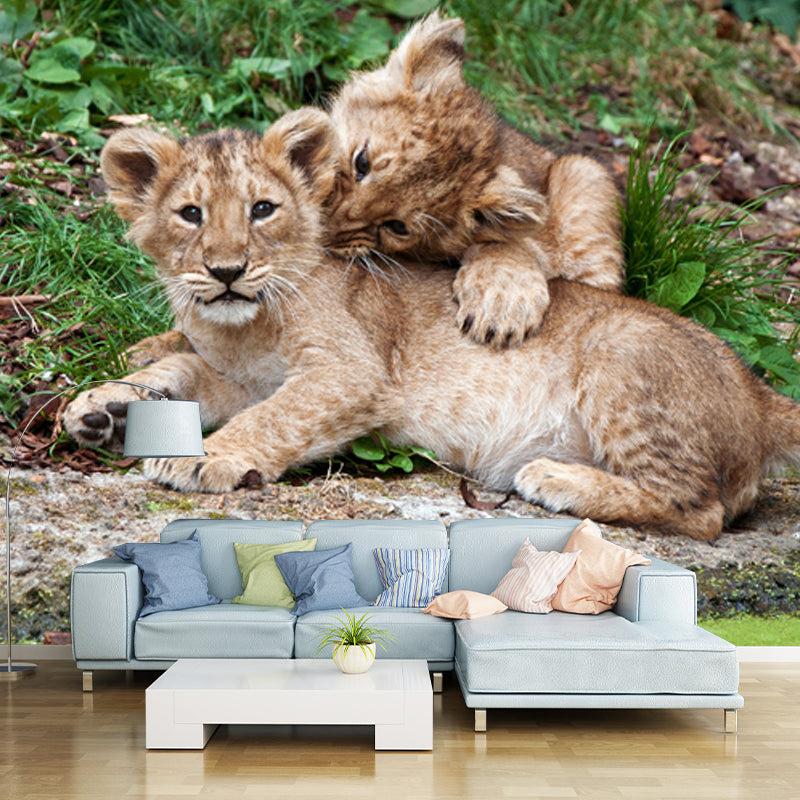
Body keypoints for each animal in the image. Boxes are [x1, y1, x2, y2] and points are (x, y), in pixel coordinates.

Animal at [63, 109, 800, 540]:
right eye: (190, 214)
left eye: (263, 209)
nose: (225, 271)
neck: (242, 325)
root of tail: (760, 394)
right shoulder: (235, 378)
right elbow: (180, 369)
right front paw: (104, 408)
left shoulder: (353, 373)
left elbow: (274, 418)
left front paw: (202, 458)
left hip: (624, 357)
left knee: (701, 511)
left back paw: (556, 480)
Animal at [325, 12, 624, 347]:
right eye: (361, 162)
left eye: (397, 227)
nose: (324, 230)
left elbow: (511, 247)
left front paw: (502, 306)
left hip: (582, 170)